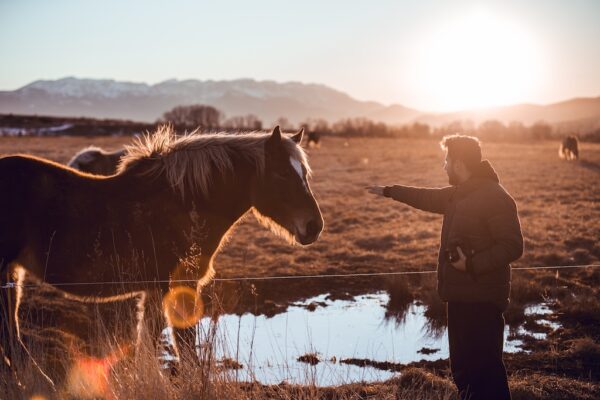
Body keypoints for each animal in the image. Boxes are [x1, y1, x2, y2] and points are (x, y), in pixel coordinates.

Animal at [0, 126, 324, 382]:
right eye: (281, 174)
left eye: (305, 174)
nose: (314, 226)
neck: (183, 202)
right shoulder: (179, 286)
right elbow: (185, 347)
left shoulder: (155, 289)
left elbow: (148, 342)